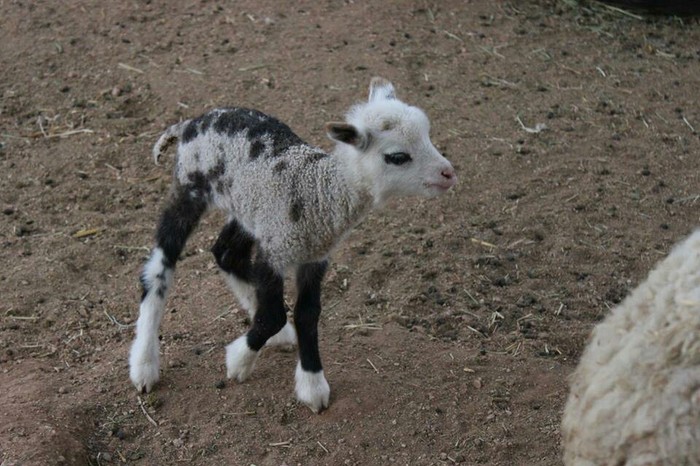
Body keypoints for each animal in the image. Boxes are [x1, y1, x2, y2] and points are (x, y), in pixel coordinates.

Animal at [130, 78, 460, 414]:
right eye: (397, 156)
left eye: (427, 134)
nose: (448, 173)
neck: (318, 191)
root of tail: (191, 122)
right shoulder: (274, 251)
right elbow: (274, 315)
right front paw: (238, 361)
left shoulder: (312, 256)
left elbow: (307, 313)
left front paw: (312, 383)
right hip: (189, 188)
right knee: (159, 268)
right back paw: (144, 364)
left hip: (247, 209)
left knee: (225, 253)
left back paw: (276, 330)